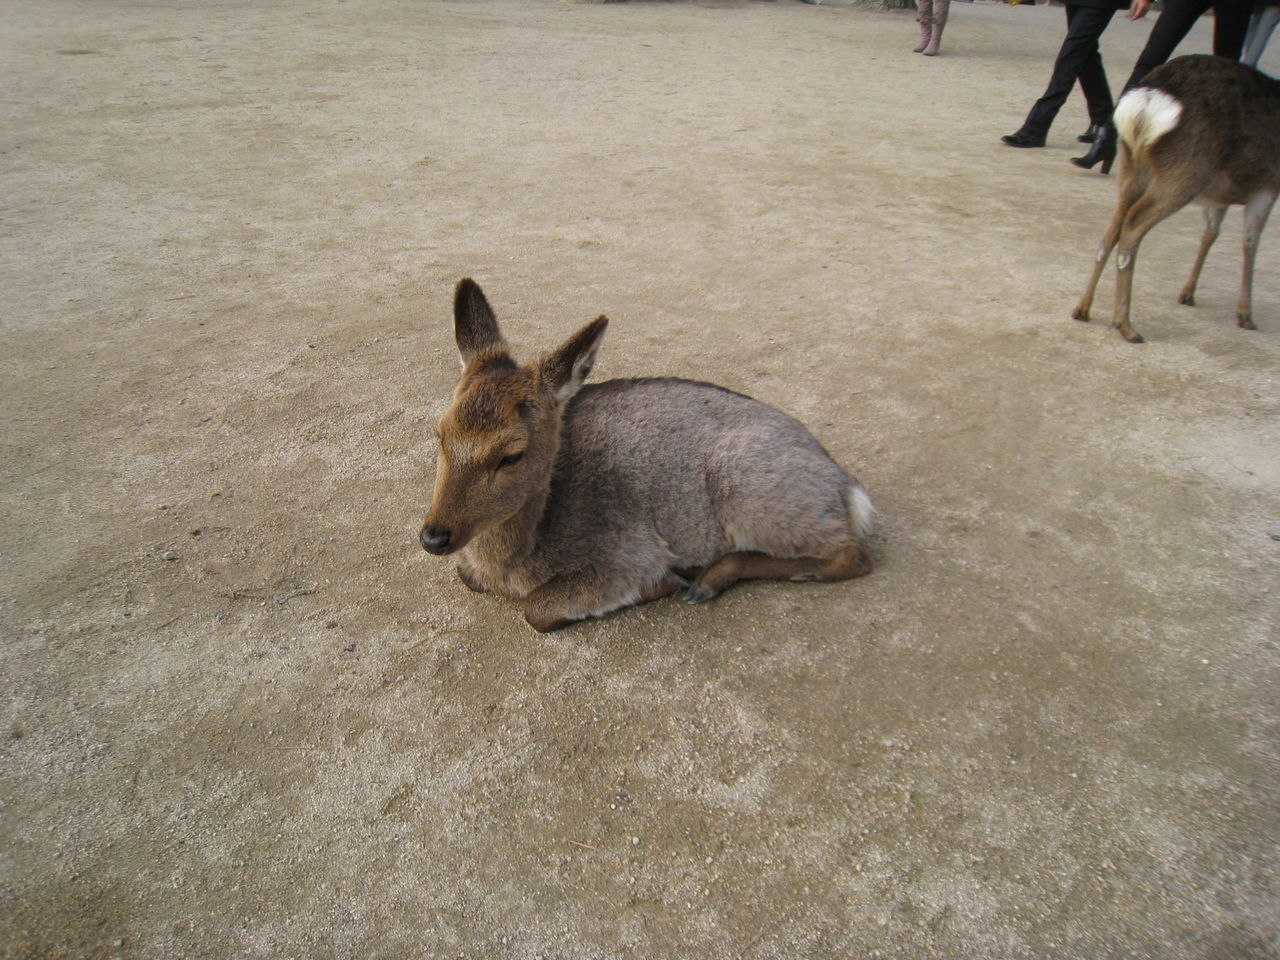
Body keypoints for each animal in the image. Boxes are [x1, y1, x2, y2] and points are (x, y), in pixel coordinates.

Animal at [418, 279, 875, 633]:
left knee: (853, 554)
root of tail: (847, 486)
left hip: (760, 501)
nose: (434, 537)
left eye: (512, 455)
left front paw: (663, 583)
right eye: (439, 432)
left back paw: (705, 579)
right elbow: (466, 575)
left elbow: (538, 610)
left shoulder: (627, 555)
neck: (513, 566)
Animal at [1072, 55, 1280, 343]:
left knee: (1111, 230)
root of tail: (1147, 100)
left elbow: (1211, 232)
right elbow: (1251, 242)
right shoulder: (1269, 184)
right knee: (1133, 224)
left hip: (1133, 168)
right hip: (1185, 171)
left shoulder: (1220, 195)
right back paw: (1125, 324)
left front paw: (1188, 293)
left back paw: (1083, 308)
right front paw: (1246, 315)